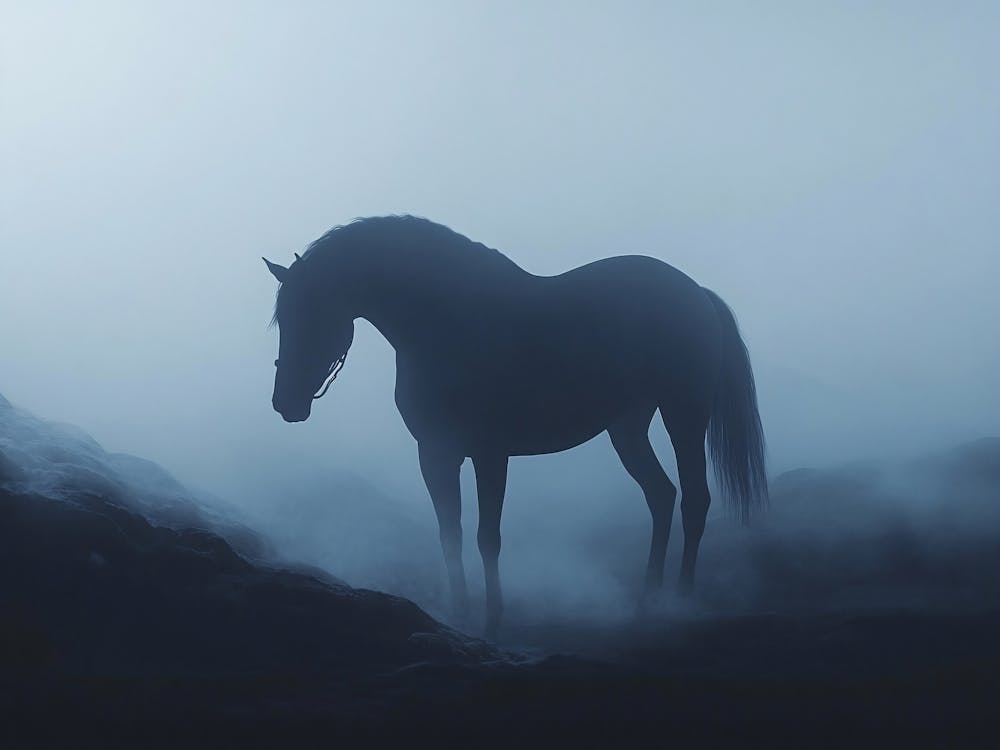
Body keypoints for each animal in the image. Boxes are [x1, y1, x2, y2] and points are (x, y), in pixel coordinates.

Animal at [264, 215, 767, 637]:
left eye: (313, 313)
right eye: (283, 320)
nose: (285, 402)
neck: (445, 322)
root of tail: (696, 293)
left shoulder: (491, 454)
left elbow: (488, 538)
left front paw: (493, 618)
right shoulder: (435, 454)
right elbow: (450, 534)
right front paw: (460, 611)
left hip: (685, 414)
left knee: (694, 500)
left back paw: (680, 601)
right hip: (627, 429)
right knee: (661, 495)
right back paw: (648, 599)